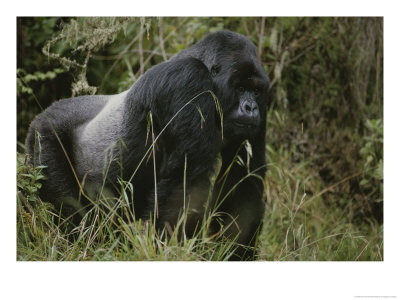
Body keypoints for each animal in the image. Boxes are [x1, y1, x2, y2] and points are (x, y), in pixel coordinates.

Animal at [24, 30, 268, 260]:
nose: (251, 108)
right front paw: (170, 252)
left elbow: (243, 182)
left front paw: (234, 254)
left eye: (256, 91)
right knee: (71, 209)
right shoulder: (187, 79)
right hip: (43, 137)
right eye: (239, 88)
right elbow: (185, 183)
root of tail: (42, 114)